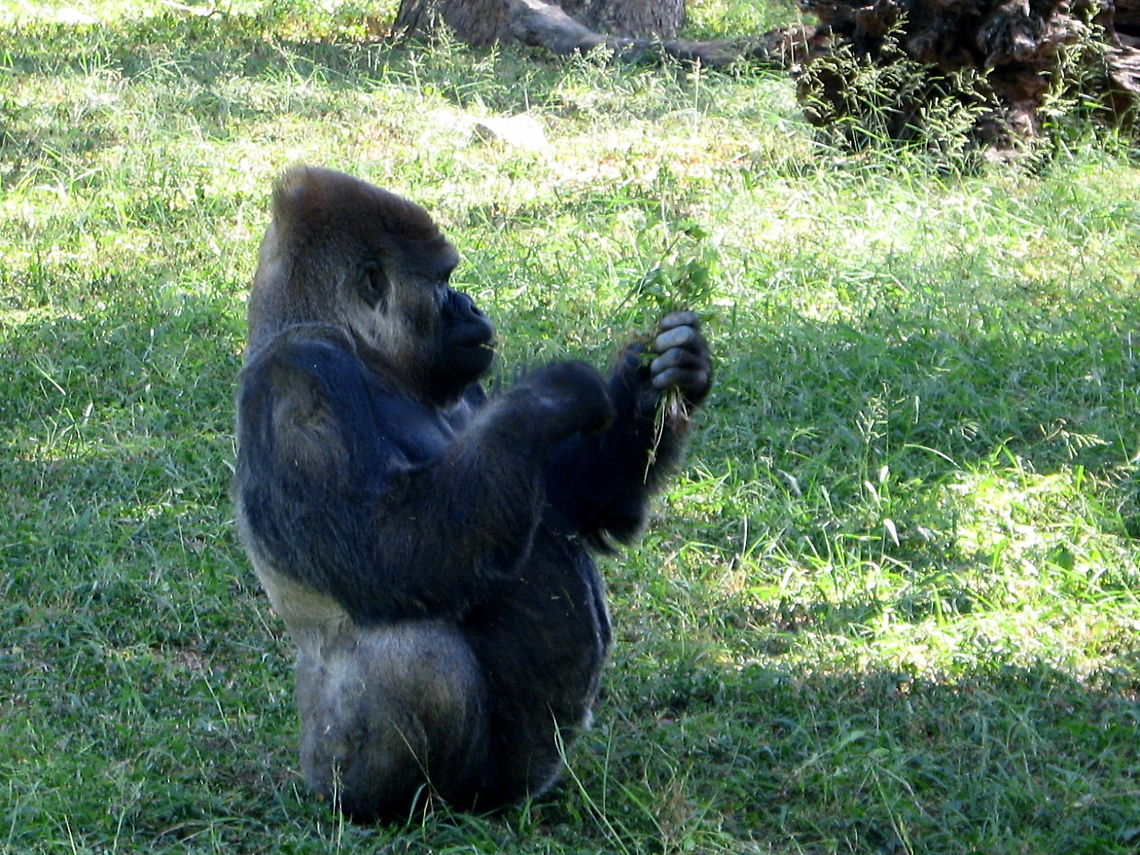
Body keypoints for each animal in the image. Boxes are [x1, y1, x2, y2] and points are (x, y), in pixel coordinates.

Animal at [232, 165, 712, 821]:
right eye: (444, 280)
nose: (471, 304)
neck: (364, 349)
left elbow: (577, 499)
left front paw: (664, 373)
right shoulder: (302, 384)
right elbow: (385, 549)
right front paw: (551, 395)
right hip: (333, 773)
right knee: (412, 652)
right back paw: (399, 806)